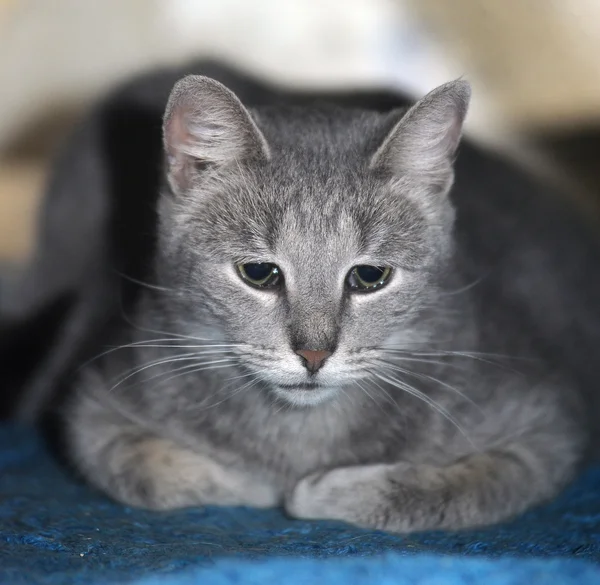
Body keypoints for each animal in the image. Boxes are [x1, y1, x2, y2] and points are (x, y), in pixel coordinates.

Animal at [56, 65, 596, 532]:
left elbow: (456, 489)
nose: (314, 355)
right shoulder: (97, 409)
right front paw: (252, 482)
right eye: (259, 273)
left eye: (370, 276)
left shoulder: (546, 432)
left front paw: (321, 491)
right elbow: (151, 471)